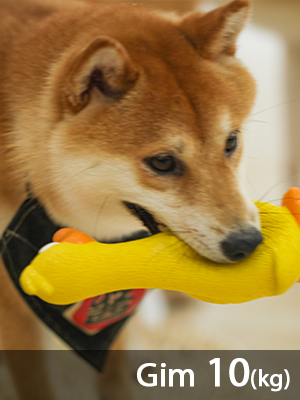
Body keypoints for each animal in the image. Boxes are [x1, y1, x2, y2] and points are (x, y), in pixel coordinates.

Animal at [0, 0, 262, 398]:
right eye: (163, 162)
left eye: (230, 141)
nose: (247, 243)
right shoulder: (14, 310)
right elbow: (36, 383)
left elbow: (114, 374)